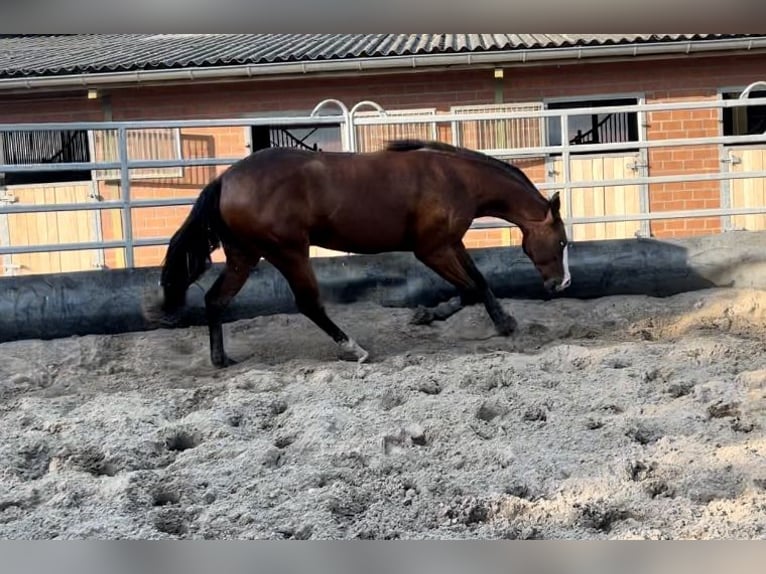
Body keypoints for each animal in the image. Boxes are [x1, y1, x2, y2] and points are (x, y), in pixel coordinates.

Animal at [143, 139, 571, 368]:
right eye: (563, 242)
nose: (562, 284)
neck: (454, 180)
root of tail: (226, 180)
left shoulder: (452, 243)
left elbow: (480, 282)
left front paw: (505, 322)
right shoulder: (430, 250)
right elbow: (467, 289)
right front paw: (425, 315)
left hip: (244, 255)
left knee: (216, 300)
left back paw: (221, 360)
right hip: (289, 251)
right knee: (308, 303)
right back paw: (354, 348)